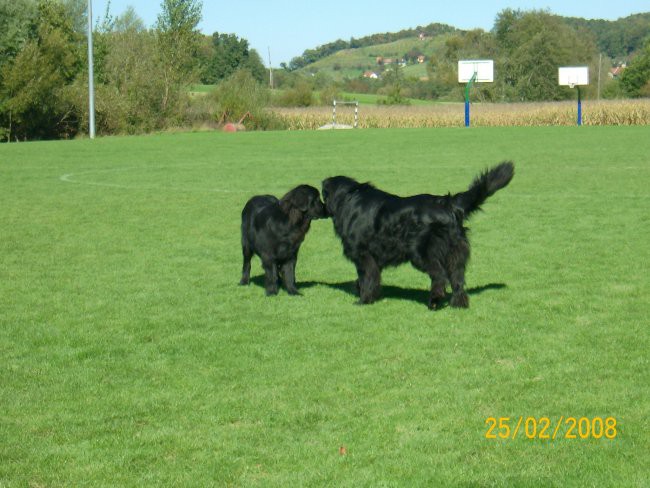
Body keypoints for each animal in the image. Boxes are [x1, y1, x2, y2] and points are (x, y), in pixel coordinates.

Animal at [322, 164, 512, 308]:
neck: (348, 197)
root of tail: (448, 203)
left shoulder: (364, 255)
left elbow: (367, 277)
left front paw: (363, 300)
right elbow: (372, 278)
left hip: (421, 252)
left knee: (440, 276)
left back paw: (434, 301)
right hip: (455, 253)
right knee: (457, 279)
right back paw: (458, 304)